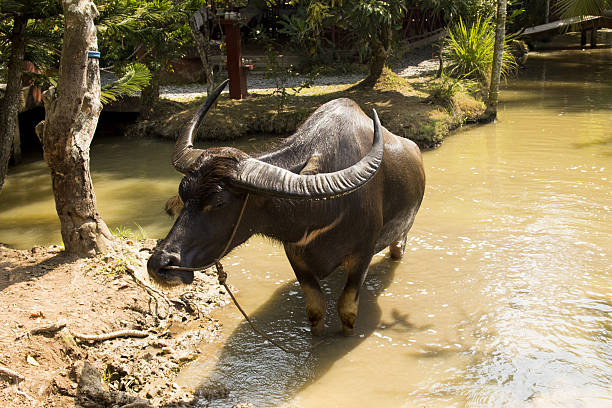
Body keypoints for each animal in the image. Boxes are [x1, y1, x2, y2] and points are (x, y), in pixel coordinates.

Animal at [148, 79, 426, 334]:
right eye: (183, 195)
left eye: (218, 203)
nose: (159, 264)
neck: (322, 208)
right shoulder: (296, 256)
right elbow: (315, 309)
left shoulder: (362, 255)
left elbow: (347, 311)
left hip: (402, 234)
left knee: (397, 249)